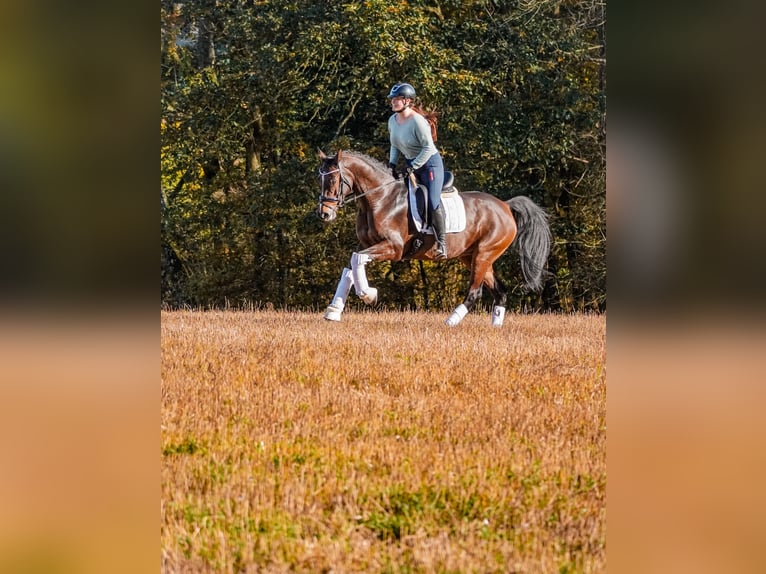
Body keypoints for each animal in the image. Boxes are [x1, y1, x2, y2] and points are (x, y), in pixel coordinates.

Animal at [316, 150, 552, 328]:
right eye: (321, 179)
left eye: (334, 179)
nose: (324, 214)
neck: (380, 199)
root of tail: (505, 206)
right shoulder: (367, 245)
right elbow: (351, 265)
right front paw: (334, 311)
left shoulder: (394, 248)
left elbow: (357, 259)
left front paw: (368, 294)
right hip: (472, 256)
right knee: (500, 292)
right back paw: (495, 328)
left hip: (484, 254)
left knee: (475, 292)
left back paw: (450, 322)